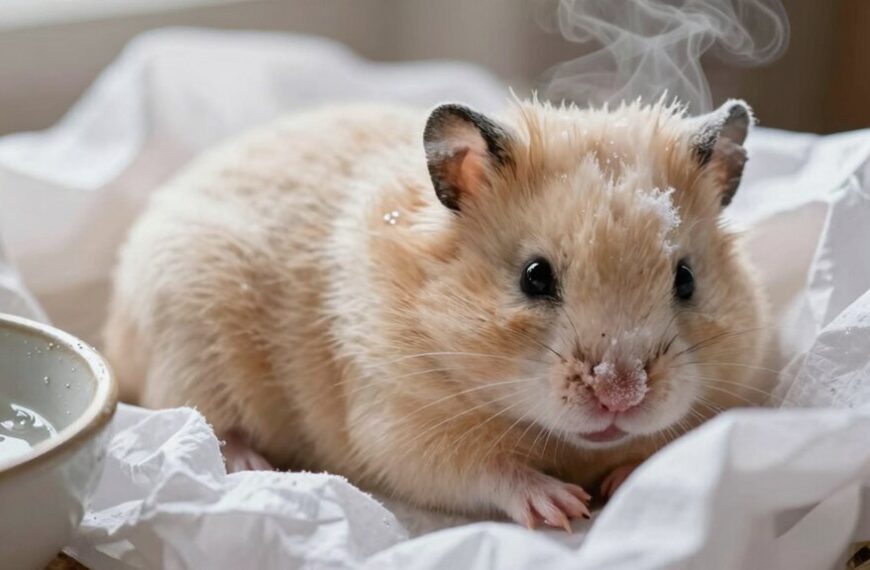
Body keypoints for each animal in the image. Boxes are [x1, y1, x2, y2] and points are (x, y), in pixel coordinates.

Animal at [103, 98, 768, 530]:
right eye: (535, 277)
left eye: (686, 280)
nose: (620, 396)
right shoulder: (398, 428)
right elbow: (486, 470)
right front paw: (562, 507)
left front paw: (627, 478)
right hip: (191, 346)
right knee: (209, 421)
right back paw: (251, 464)